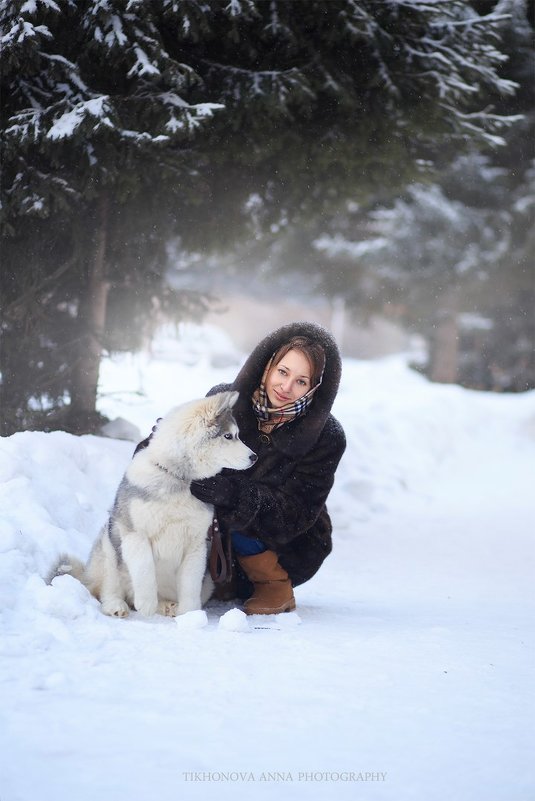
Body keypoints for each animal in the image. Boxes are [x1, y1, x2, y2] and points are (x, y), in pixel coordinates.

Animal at [49, 392, 258, 620]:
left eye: (237, 435)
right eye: (228, 436)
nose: (254, 457)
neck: (179, 479)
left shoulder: (197, 544)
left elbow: (190, 585)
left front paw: (190, 616)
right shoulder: (136, 534)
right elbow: (144, 568)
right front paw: (146, 604)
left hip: (209, 580)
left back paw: (168, 607)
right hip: (109, 542)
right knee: (108, 588)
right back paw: (117, 605)